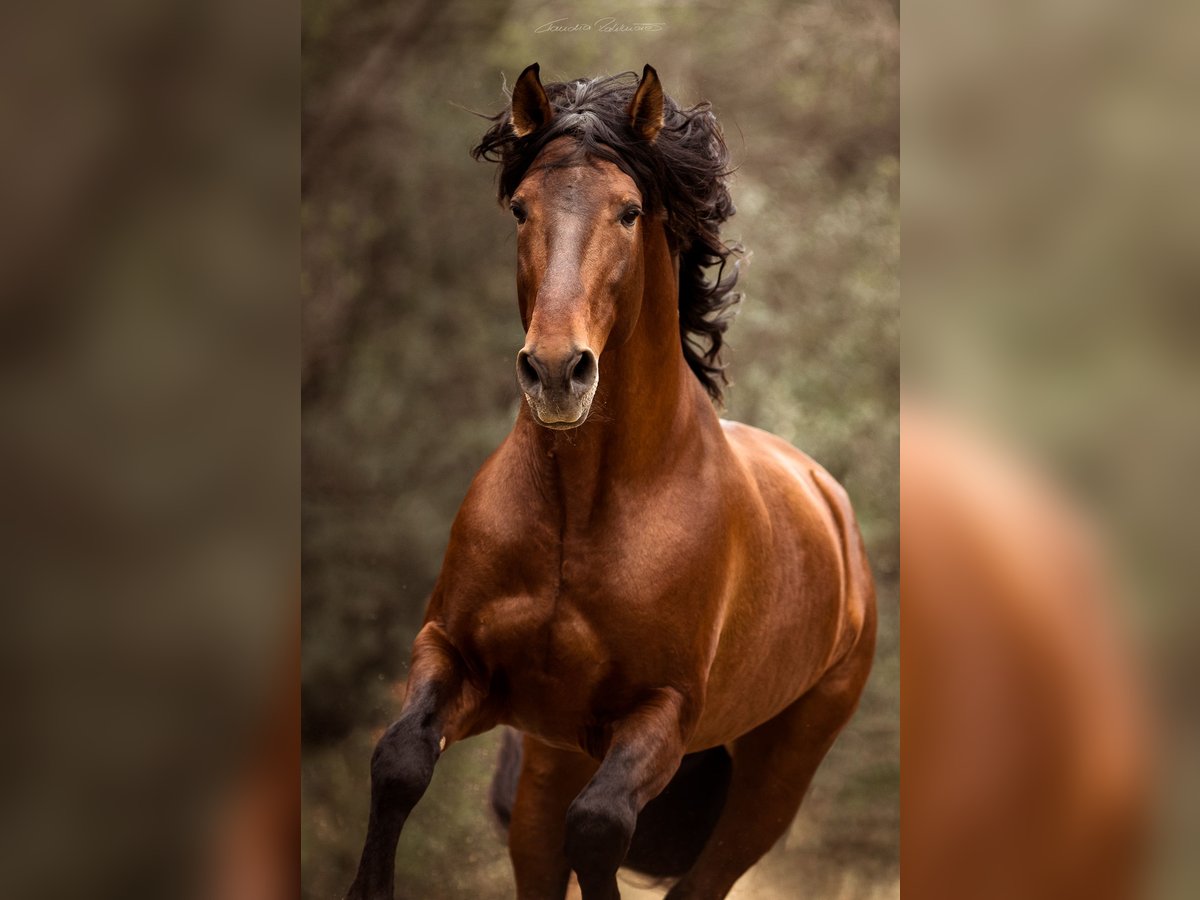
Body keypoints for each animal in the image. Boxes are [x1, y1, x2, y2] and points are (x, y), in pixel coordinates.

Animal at [343, 65, 878, 900]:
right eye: (521, 208)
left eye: (629, 211)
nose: (558, 371)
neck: (581, 510)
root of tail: (830, 501)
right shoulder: (457, 656)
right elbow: (398, 762)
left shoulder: (660, 714)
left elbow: (598, 829)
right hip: (552, 760)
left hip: (775, 777)